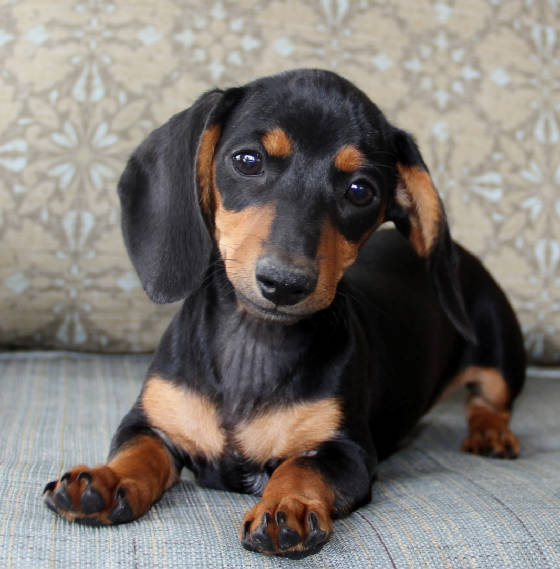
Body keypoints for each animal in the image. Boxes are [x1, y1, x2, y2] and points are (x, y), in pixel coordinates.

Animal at [43, 69, 524, 556]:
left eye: (361, 191)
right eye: (248, 160)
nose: (285, 283)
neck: (253, 342)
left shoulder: (347, 452)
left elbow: (300, 466)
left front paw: (286, 505)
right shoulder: (150, 423)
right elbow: (138, 452)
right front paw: (106, 480)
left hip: (501, 357)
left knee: (492, 401)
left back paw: (490, 432)